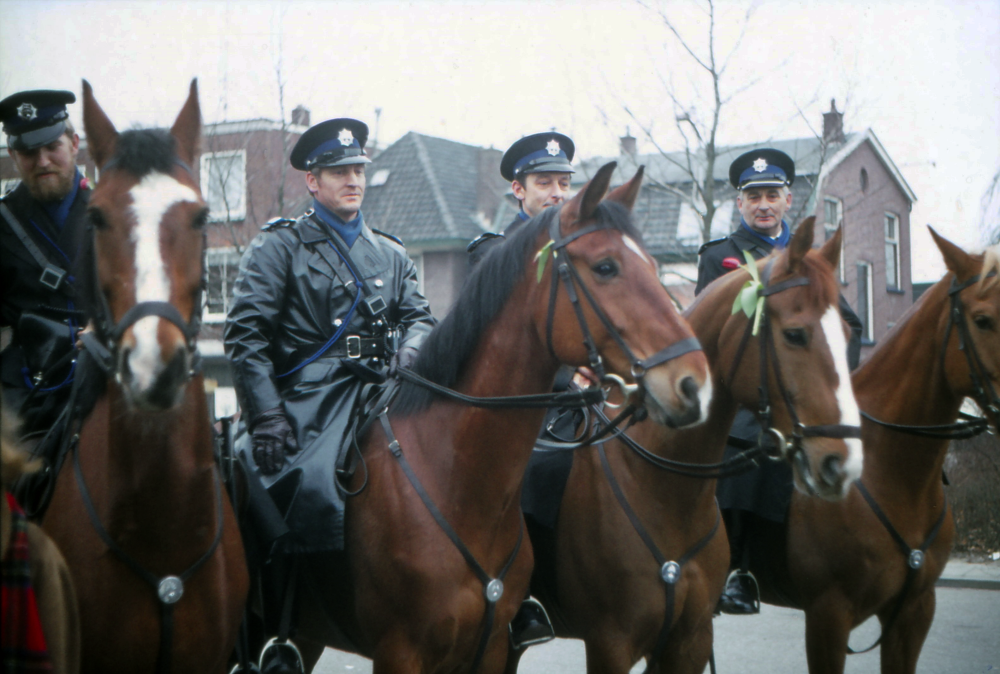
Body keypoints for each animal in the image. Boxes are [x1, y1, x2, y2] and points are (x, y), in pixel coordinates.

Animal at [512, 217, 864, 672]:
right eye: (794, 334)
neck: (664, 488)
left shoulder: (690, 641)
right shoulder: (610, 643)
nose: (843, 461)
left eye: (847, 333)